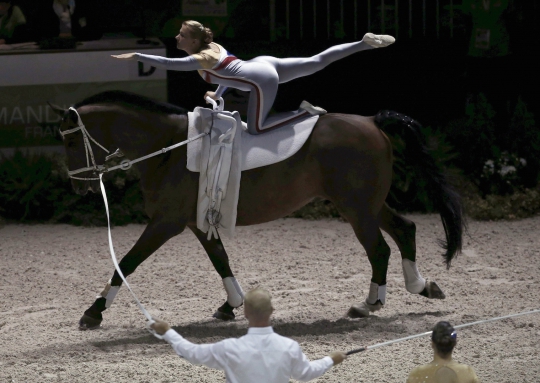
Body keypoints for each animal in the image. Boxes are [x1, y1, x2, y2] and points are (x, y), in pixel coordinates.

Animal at [51, 91, 464, 330]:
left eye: (69, 141)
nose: (77, 184)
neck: (170, 147)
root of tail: (372, 121)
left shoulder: (165, 223)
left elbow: (127, 262)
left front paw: (94, 312)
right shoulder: (196, 222)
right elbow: (220, 258)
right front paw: (231, 305)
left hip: (356, 208)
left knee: (379, 248)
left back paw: (368, 304)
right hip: (368, 204)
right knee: (405, 228)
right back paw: (421, 286)